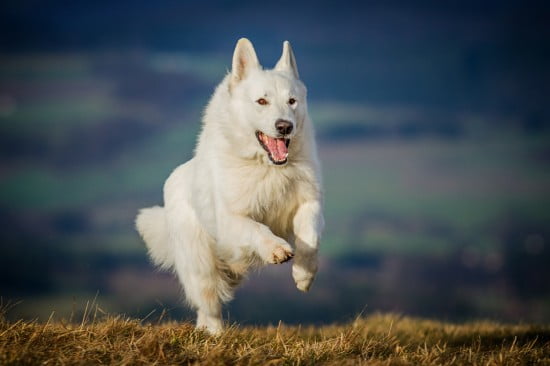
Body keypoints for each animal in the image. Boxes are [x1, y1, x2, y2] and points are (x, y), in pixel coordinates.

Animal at [137, 38, 324, 334]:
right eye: (262, 101)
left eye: (292, 101)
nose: (285, 126)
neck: (267, 167)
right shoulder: (231, 219)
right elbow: (257, 229)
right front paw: (276, 248)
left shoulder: (309, 203)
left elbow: (310, 238)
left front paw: (304, 275)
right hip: (202, 269)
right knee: (209, 307)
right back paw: (214, 335)